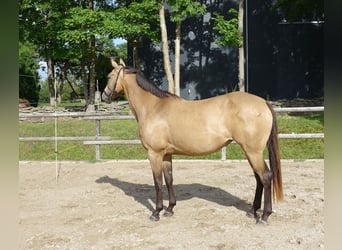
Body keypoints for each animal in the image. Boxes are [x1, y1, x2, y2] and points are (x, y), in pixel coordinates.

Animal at [101, 58, 284, 225]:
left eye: (109, 76)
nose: (104, 96)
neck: (154, 107)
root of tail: (263, 102)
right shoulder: (166, 154)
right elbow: (169, 179)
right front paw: (170, 209)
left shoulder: (154, 154)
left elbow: (158, 182)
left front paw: (156, 212)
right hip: (251, 152)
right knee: (258, 178)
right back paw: (252, 211)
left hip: (253, 152)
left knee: (265, 177)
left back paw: (264, 216)